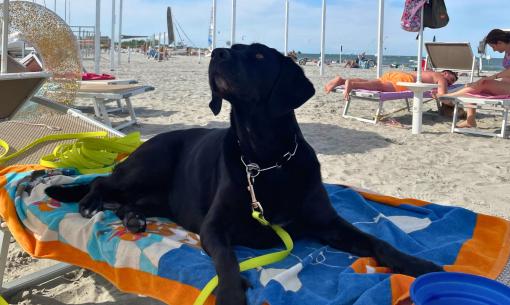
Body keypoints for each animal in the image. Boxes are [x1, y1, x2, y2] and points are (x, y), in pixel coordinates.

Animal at [45, 42, 440, 304]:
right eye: (232, 49)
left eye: (260, 55)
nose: (217, 53)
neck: (265, 160)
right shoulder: (214, 228)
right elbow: (228, 261)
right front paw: (232, 295)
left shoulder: (328, 223)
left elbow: (377, 241)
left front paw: (417, 263)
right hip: (149, 163)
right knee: (101, 181)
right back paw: (90, 203)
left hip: (155, 194)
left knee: (126, 201)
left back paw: (132, 218)